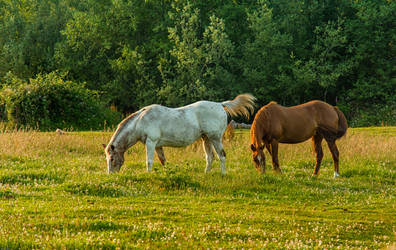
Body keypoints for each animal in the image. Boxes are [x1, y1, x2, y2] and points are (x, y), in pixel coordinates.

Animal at [103, 94, 255, 175]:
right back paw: (206, 173)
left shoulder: (151, 142)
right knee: (210, 157)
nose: (111, 175)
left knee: (221, 155)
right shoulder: (158, 145)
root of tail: (220, 104)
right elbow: (163, 160)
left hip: (215, 138)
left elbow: (149, 161)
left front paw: (148, 173)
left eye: (112, 159)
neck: (140, 121)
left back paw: (223, 174)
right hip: (206, 139)